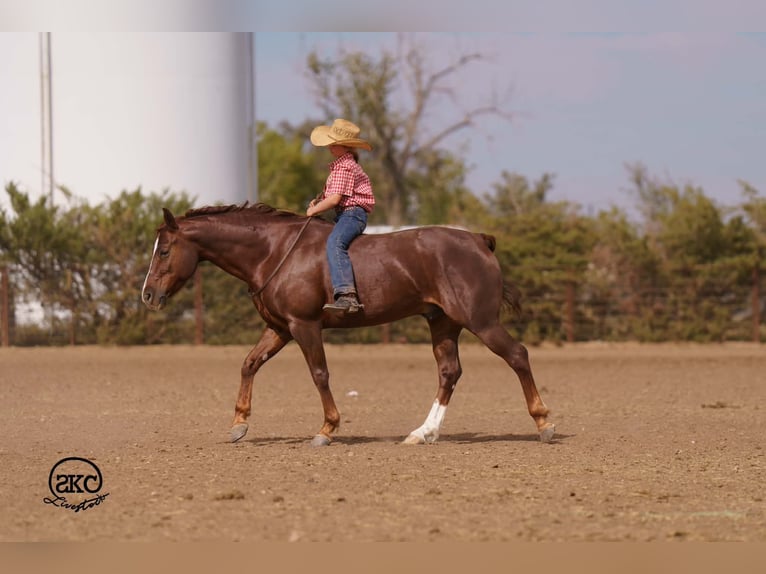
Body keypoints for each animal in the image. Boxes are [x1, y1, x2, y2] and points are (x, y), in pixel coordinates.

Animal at [141, 203, 555, 446]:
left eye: (165, 251)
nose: (147, 295)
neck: (273, 252)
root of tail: (479, 241)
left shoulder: (304, 326)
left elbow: (319, 374)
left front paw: (327, 429)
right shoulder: (280, 328)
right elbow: (249, 364)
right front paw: (239, 423)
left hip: (481, 321)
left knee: (518, 355)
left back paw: (543, 424)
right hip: (444, 324)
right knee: (449, 372)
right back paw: (423, 433)